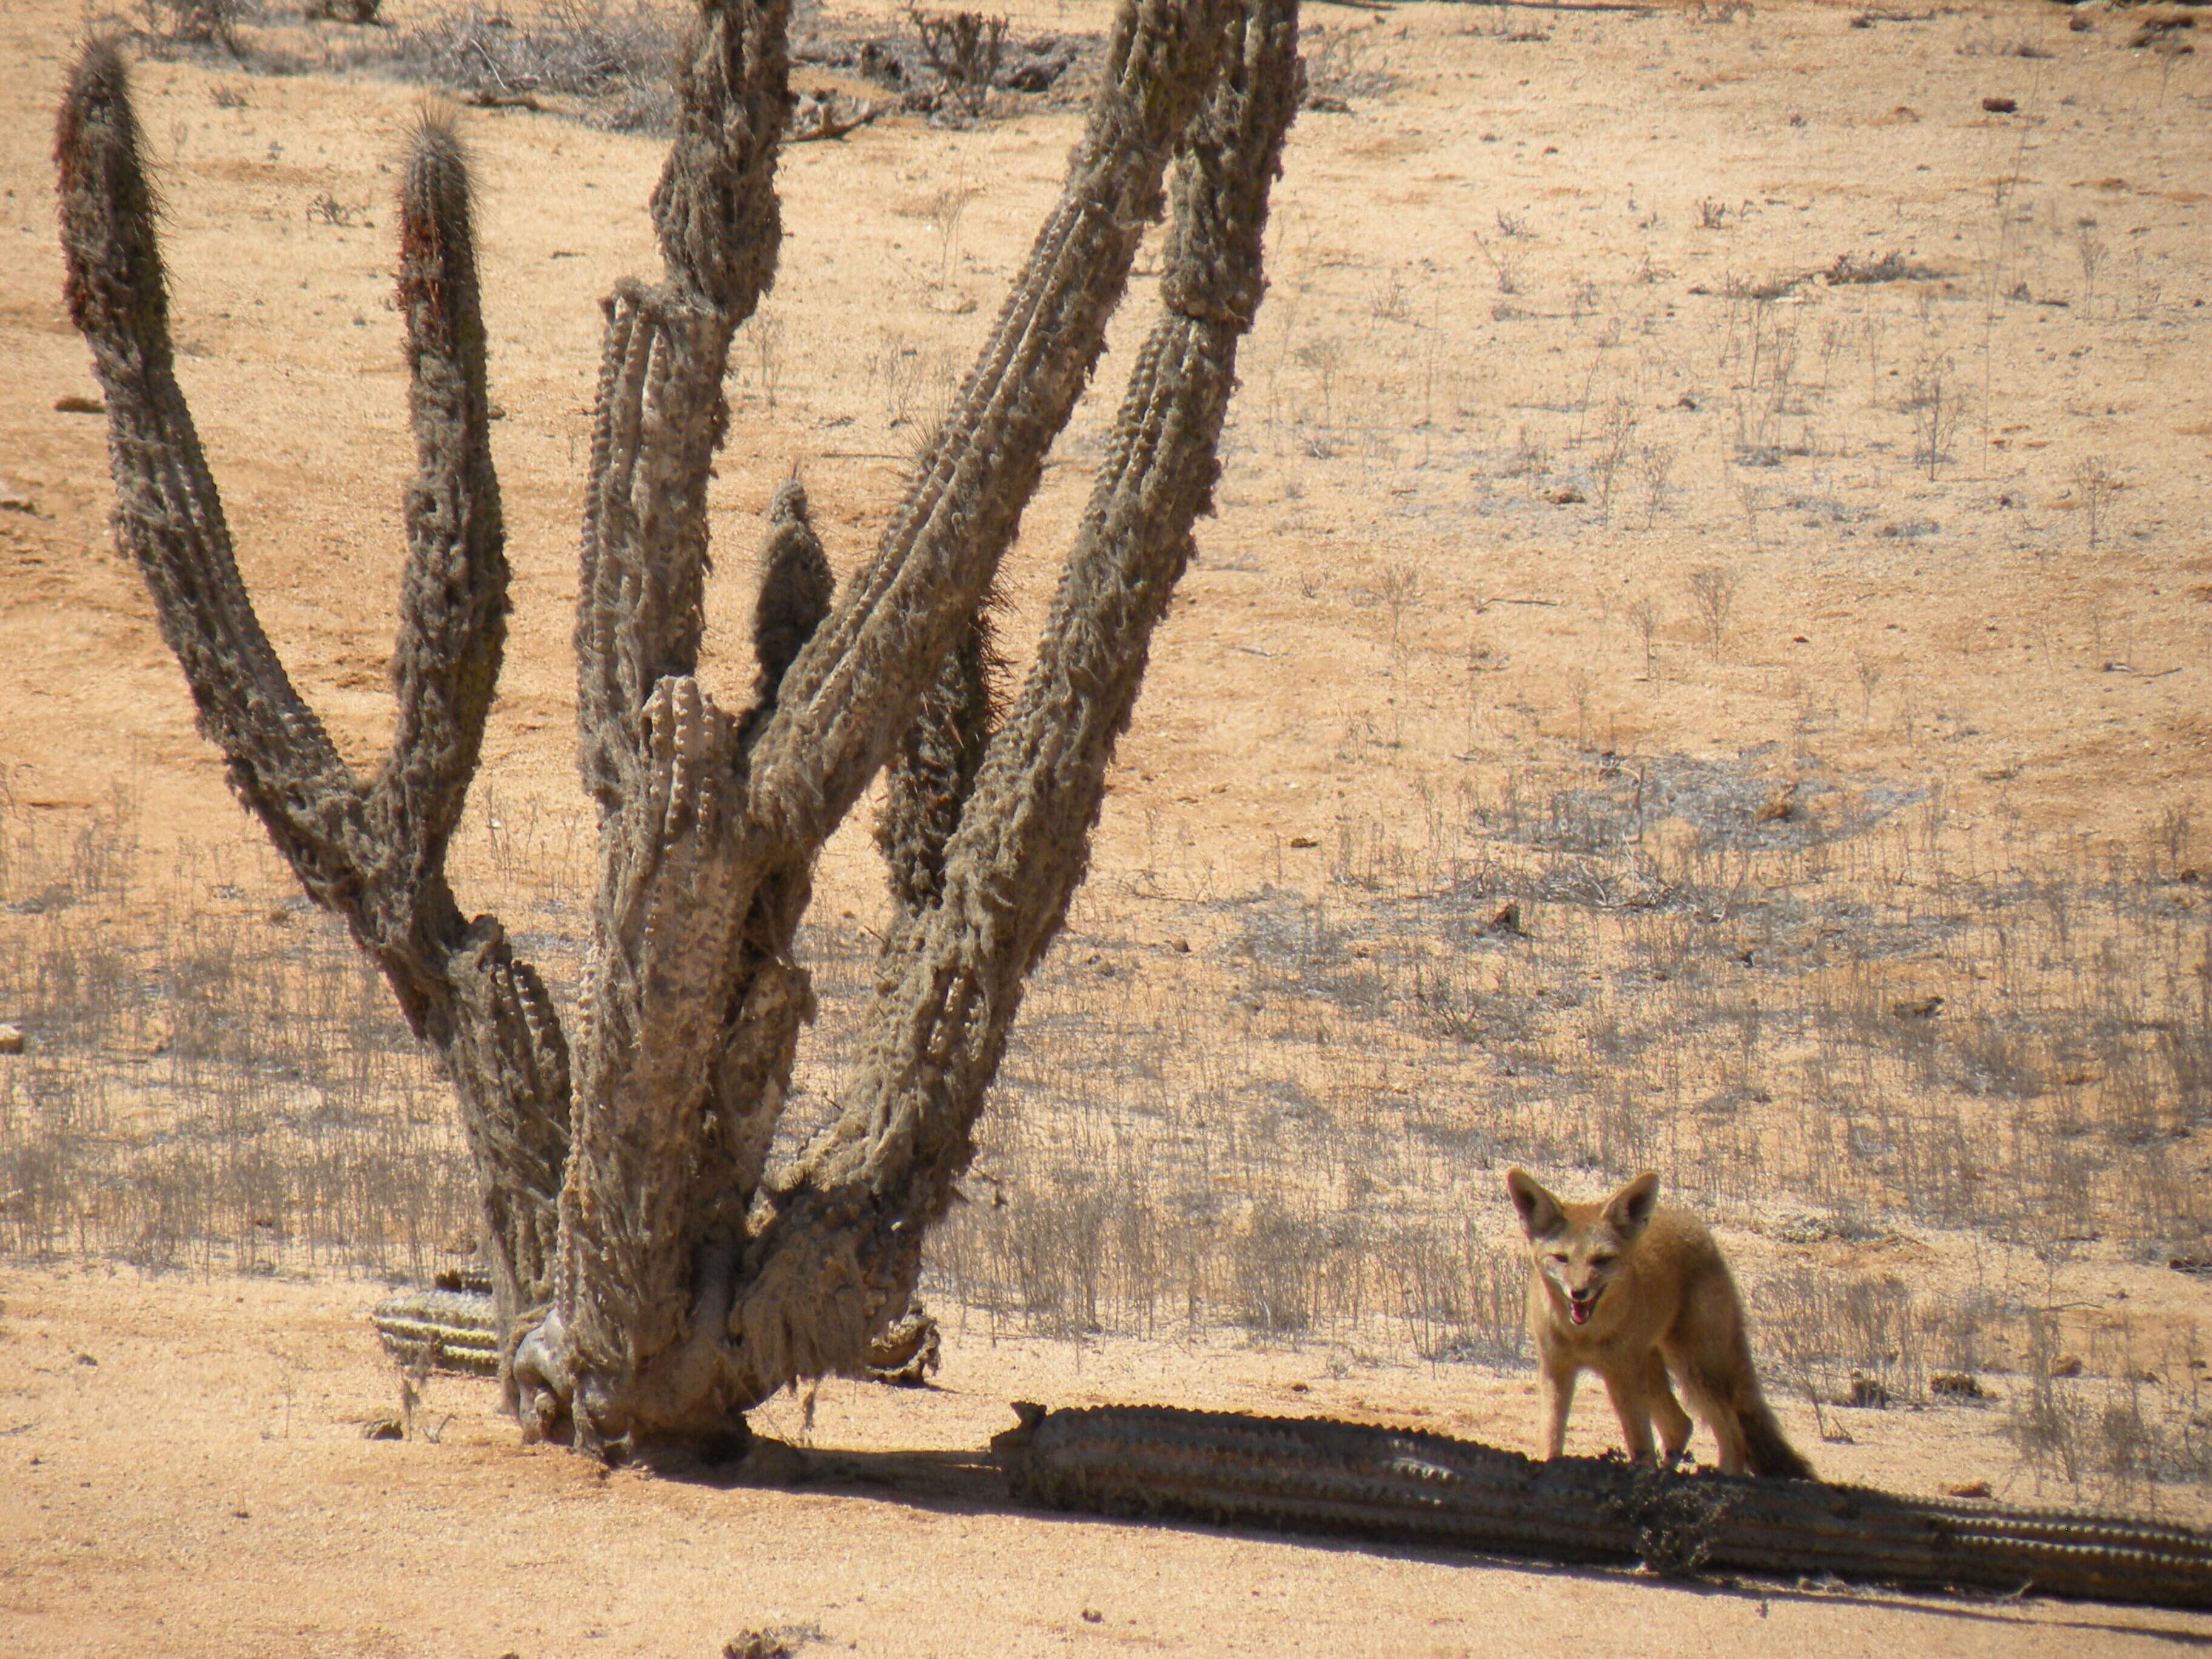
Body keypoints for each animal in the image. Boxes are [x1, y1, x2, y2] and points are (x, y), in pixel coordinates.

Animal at [1504, 1168, 1814, 1477]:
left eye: (1602, 1260)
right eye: (1561, 1259)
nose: (1578, 1293)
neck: (1583, 1336)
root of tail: (1695, 1224)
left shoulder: (1622, 1376)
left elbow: (1640, 1447)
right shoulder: (1556, 1370)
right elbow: (1550, 1438)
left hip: (1693, 1370)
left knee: (1732, 1434)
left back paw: (1722, 1477)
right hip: (1653, 1370)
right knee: (1681, 1424)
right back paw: (1671, 1470)